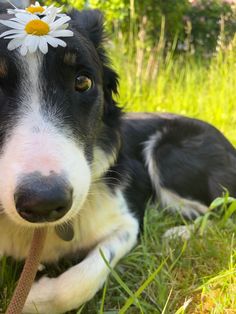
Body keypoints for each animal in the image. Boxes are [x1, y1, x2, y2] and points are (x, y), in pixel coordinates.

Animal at [0, 7, 236, 314]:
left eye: (82, 81)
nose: (45, 203)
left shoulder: (127, 223)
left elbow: (82, 279)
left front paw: (35, 298)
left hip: (167, 155)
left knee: (221, 211)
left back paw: (179, 234)